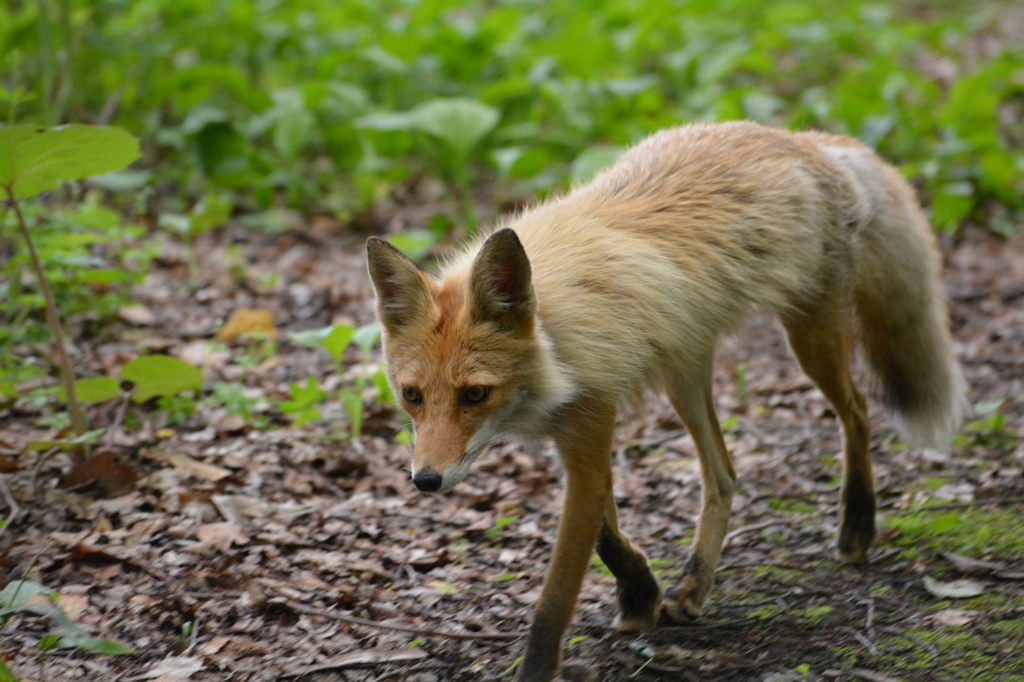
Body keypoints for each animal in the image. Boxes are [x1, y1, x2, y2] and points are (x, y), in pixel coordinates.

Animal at [368, 120, 966, 679]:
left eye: (475, 393)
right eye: (412, 396)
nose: (426, 481)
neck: (555, 344)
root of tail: (801, 136)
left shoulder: (590, 425)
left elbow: (554, 600)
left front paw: (544, 663)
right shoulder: (577, 436)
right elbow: (608, 537)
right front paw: (641, 593)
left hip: (809, 337)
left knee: (858, 414)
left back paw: (857, 525)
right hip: (686, 374)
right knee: (724, 475)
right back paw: (693, 585)